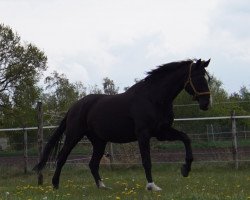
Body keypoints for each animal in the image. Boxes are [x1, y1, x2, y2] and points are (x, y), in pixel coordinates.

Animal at [32, 58, 211, 191]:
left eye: (207, 77)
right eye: (198, 77)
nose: (206, 103)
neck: (153, 98)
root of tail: (74, 106)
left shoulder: (162, 132)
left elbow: (186, 138)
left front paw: (185, 169)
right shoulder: (143, 134)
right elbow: (147, 160)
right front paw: (152, 186)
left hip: (99, 141)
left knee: (93, 163)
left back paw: (102, 186)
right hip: (74, 136)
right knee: (62, 157)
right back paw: (55, 185)